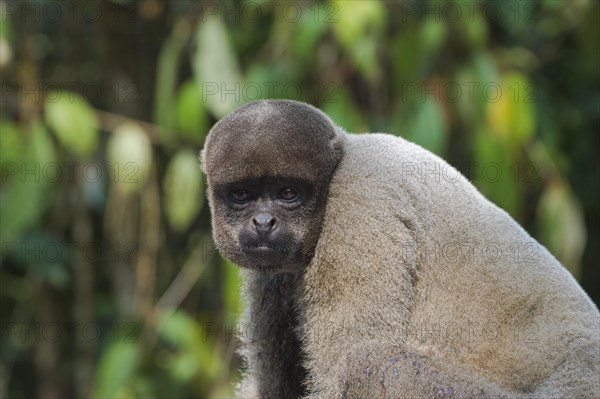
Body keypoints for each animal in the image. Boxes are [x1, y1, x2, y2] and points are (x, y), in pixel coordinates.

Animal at [200, 100, 596, 399]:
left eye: (287, 194)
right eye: (242, 195)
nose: (264, 222)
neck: (342, 160)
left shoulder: (360, 207)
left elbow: (354, 362)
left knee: (365, 366)